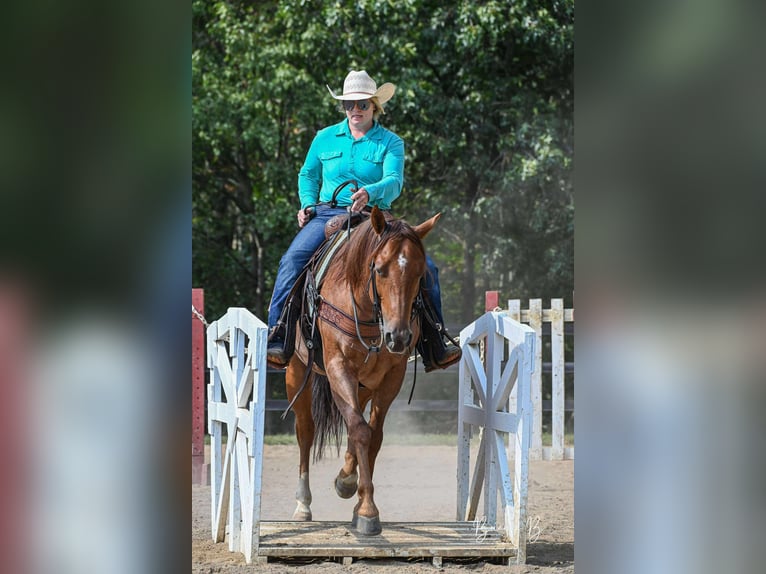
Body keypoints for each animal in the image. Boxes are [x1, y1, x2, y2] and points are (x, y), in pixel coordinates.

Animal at [284, 206, 440, 535]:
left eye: (421, 273)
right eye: (379, 269)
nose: (399, 336)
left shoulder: (391, 377)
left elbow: (372, 435)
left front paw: (356, 495)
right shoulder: (337, 367)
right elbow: (359, 430)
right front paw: (366, 509)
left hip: (363, 384)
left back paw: (346, 476)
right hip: (297, 373)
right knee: (306, 431)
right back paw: (303, 504)